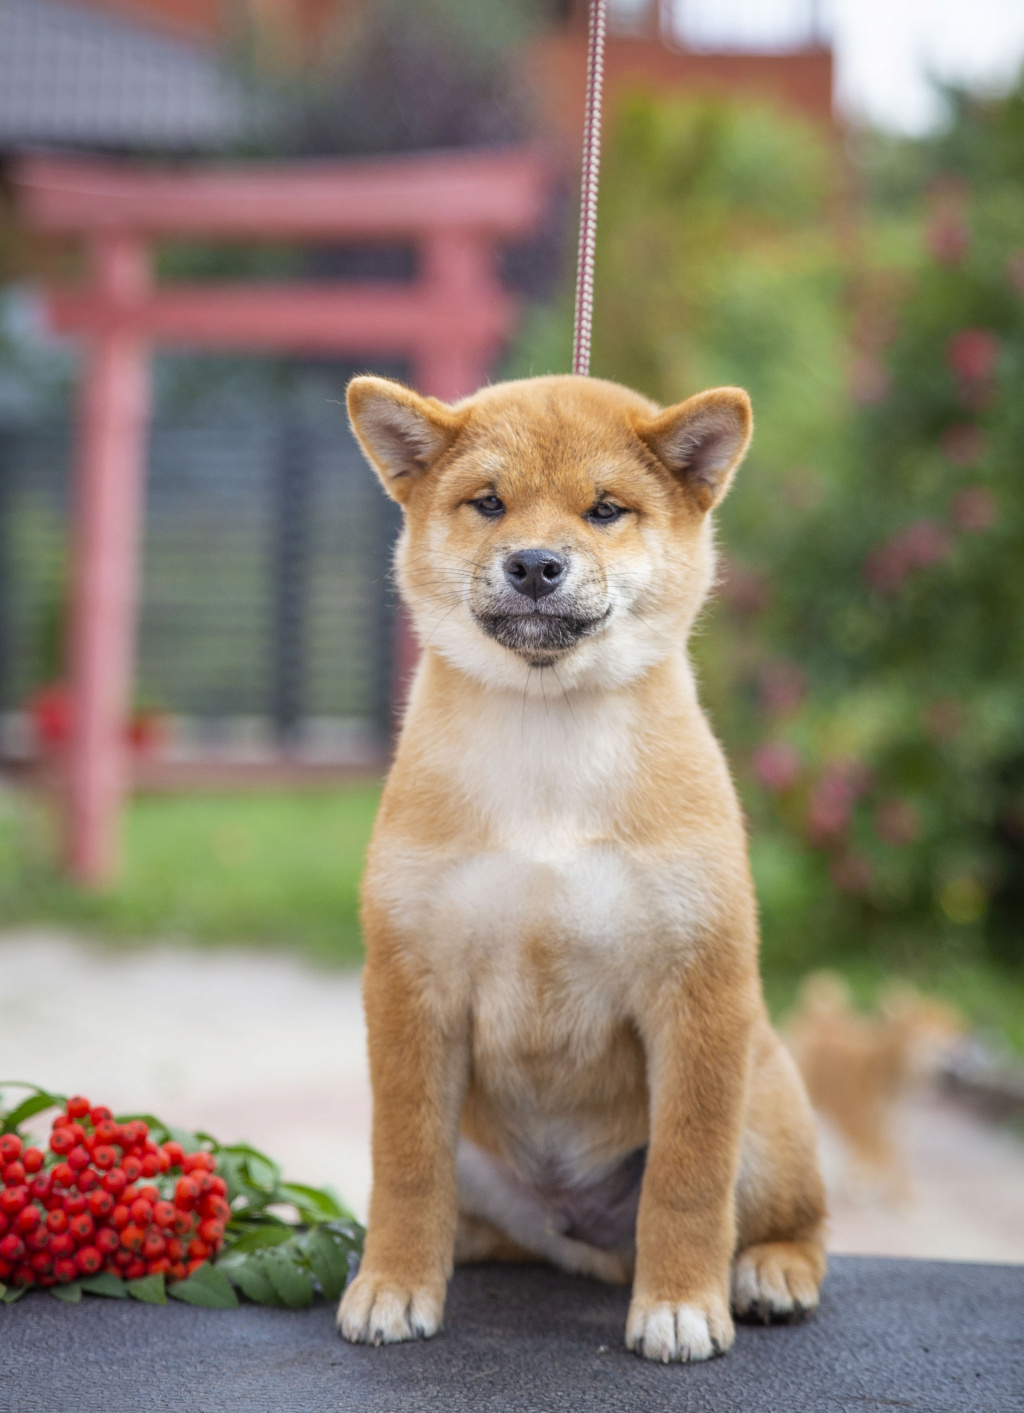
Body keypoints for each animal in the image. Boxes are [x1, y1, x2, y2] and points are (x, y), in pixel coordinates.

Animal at [338, 373, 824, 1356]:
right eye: (489, 502)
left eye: (605, 510)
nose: (534, 565)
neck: (549, 748)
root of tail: (583, 1229)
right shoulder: (411, 983)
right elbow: (404, 1165)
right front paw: (394, 1283)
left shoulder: (699, 989)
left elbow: (687, 1179)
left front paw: (680, 1304)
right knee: (475, 1219)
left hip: (765, 1102)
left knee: (797, 1219)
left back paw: (771, 1270)